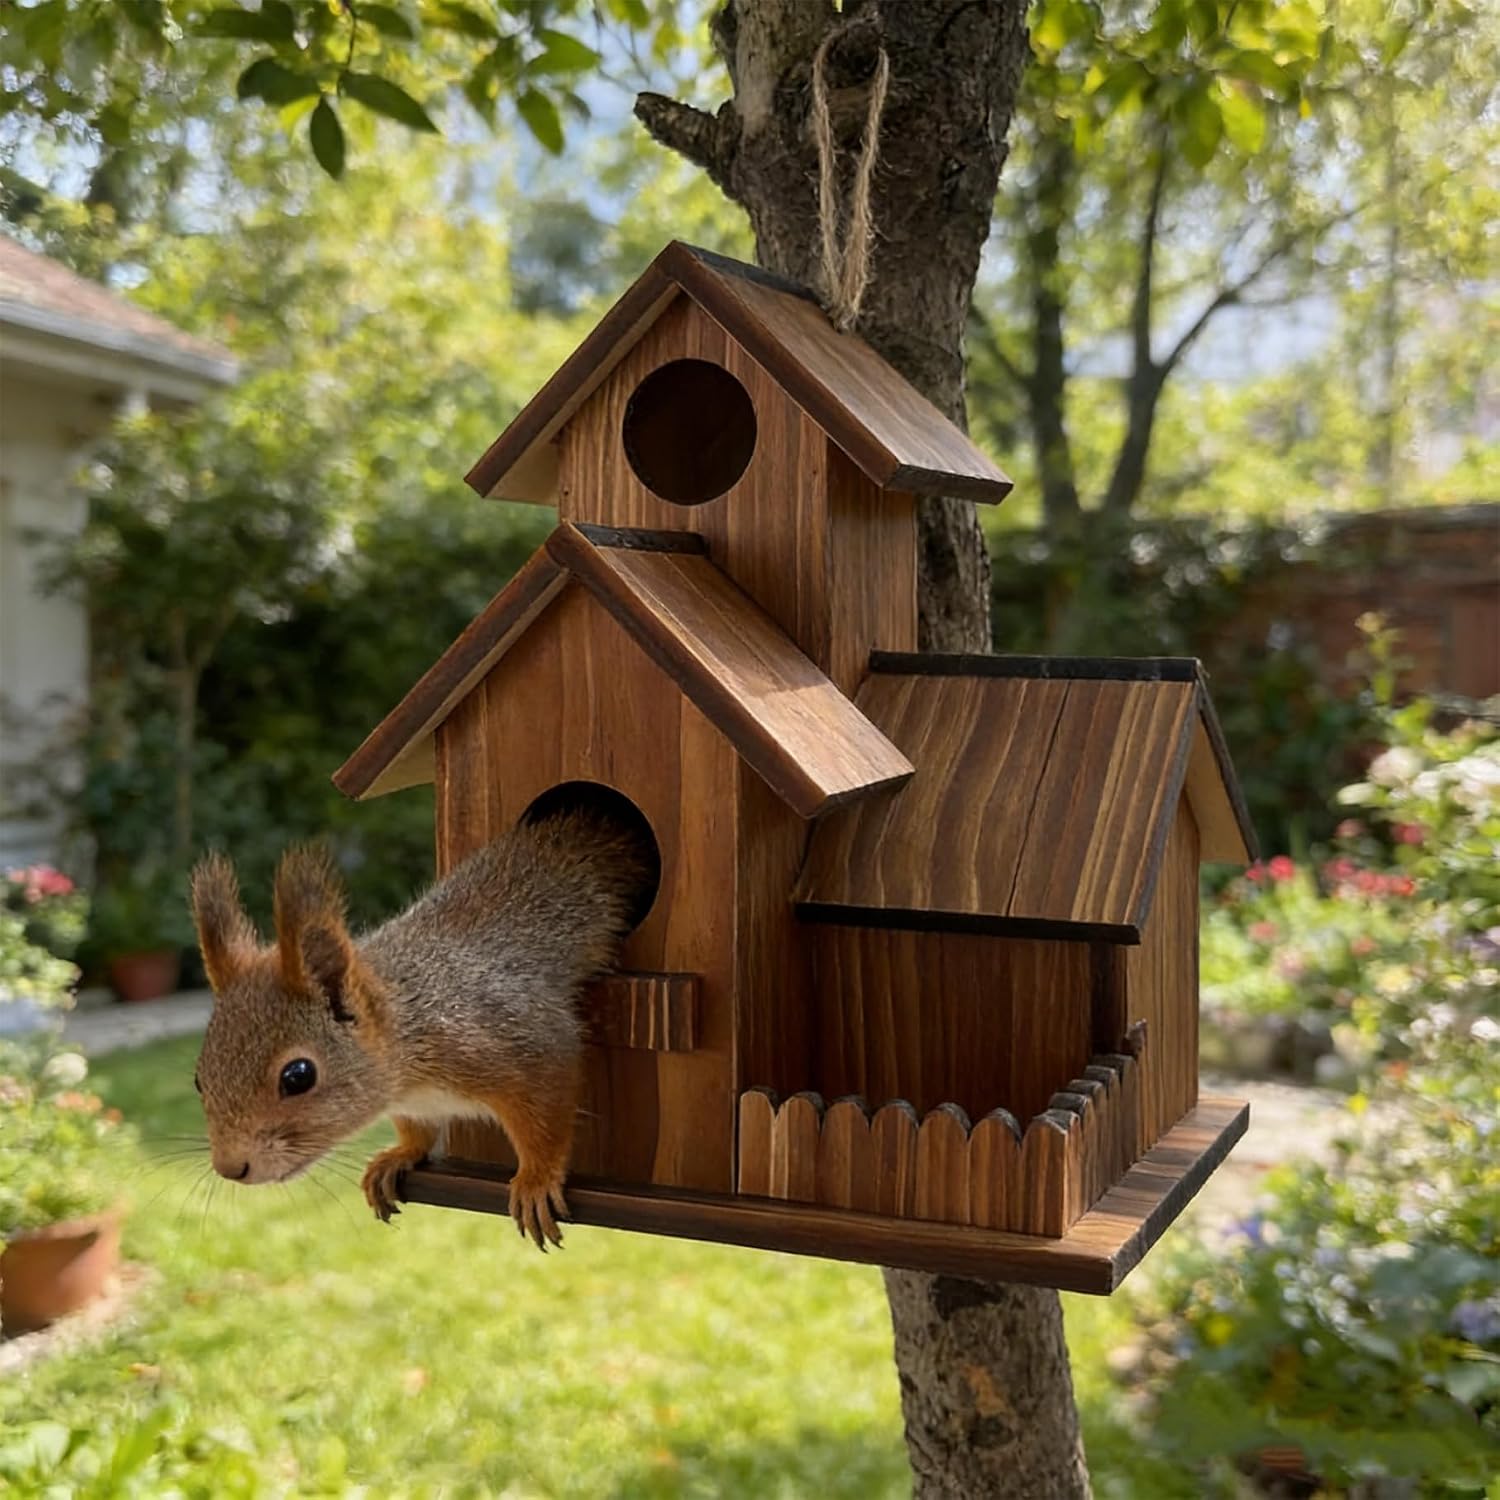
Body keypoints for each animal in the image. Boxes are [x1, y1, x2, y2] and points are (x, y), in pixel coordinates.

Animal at [188, 804, 656, 1248]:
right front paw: (399, 1154)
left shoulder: (521, 1039)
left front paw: (536, 1179)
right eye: (198, 1080)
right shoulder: (414, 1102)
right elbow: (417, 1130)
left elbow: (547, 1117)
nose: (230, 1167)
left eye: (298, 1076)